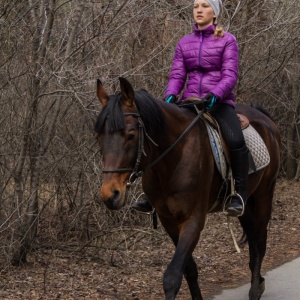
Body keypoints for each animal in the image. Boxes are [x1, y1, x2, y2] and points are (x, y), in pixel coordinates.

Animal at [95, 78, 282, 300]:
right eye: (99, 137)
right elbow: (189, 269)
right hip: (247, 204)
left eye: (131, 135)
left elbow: (173, 276)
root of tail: (265, 119)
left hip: (264, 195)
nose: (110, 194)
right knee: (253, 238)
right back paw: (258, 282)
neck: (174, 158)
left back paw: (255, 290)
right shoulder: (168, 220)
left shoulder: (193, 219)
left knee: (260, 241)